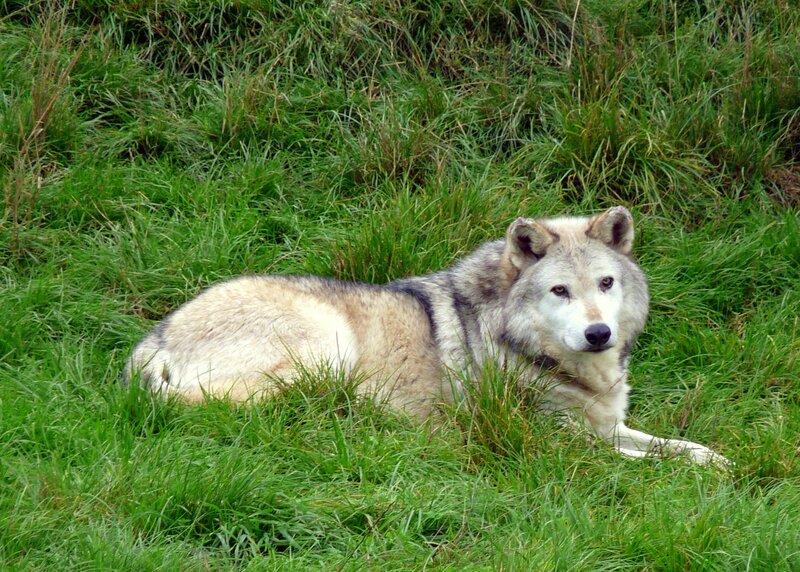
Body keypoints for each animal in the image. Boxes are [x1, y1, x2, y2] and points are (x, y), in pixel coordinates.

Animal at [126, 206, 727, 465]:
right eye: (560, 291)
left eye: (605, 283)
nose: (598, 333)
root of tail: (154, 340)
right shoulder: (559, 441)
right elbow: (644, 461)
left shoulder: (609, 425)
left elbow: (674, 444)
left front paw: (713, 459)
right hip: (326, 347)